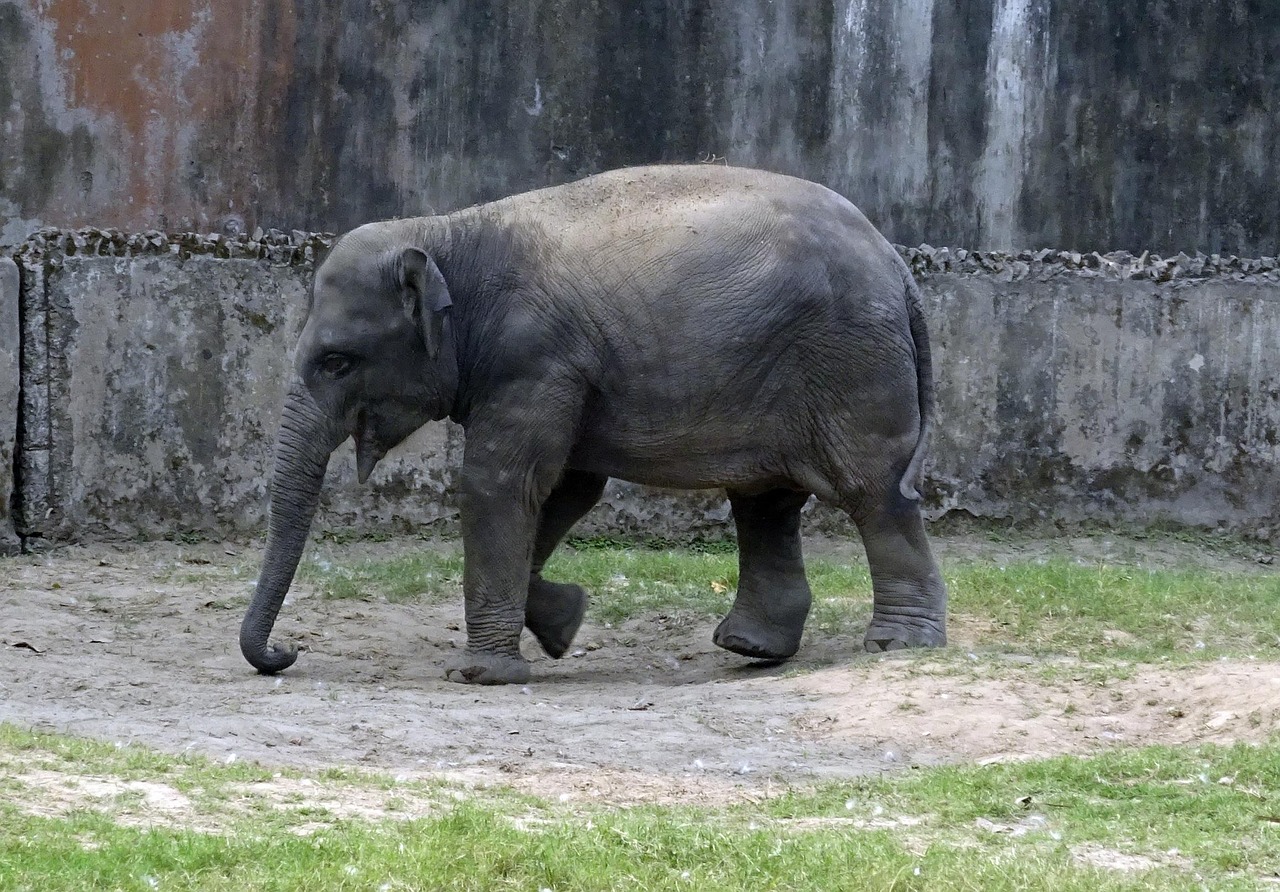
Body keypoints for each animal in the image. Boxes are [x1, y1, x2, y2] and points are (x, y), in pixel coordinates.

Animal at [240, 164, 948, 685]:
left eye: (337, 361)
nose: (289, 653)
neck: (447, 232)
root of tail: (897, 264)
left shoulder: (536, 357)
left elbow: (502, 482)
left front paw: (481, 673)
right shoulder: (557, 372)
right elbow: (565, 490)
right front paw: (563, 625)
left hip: (852, 362)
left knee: (871, 490)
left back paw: (898, 645)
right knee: (765, 502)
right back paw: (753, 648)